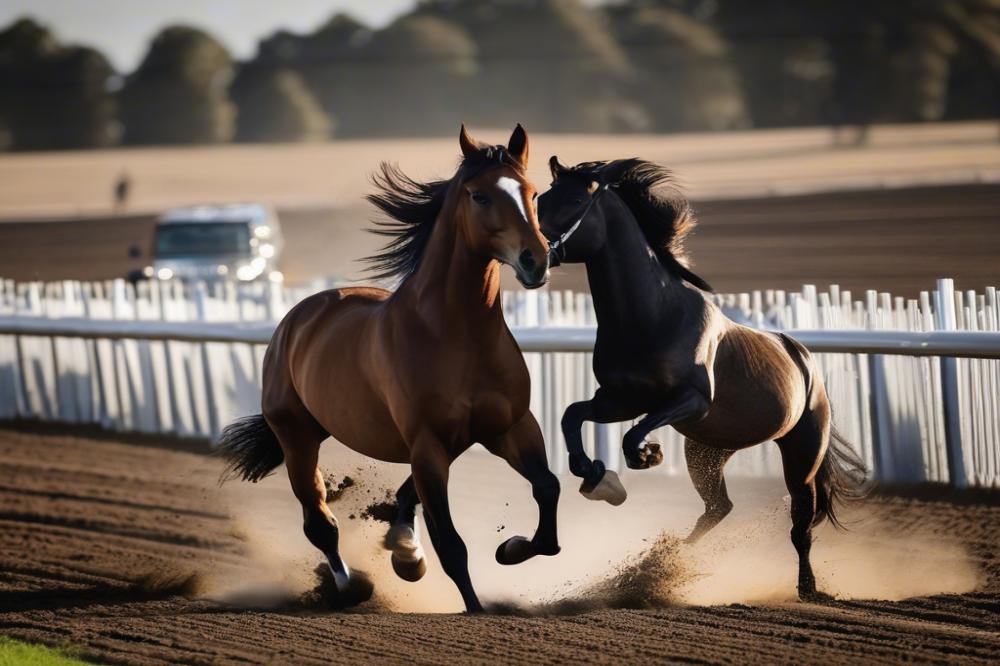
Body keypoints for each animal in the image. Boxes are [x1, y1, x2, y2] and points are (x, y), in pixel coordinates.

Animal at [219, 126, 560, 612]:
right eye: (479, 196)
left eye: (532, 192)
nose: (536, 260)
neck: (455, 334)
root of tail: (297, 319)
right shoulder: (428, 445)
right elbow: (451, 544)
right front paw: (475, 608)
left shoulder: (510, 427)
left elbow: (548, 490)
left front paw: (510, 548)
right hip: (297, 437)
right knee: (319, 522)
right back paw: (351, 587)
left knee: (401, 497)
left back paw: (403, 549)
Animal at [540, 157, 868, 600]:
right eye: (541, 198)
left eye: (575, 200)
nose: (532, 252)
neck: (654, 315)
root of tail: (801, 358)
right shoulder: (618, 398)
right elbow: (572, 416)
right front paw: (596, 476)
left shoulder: (690, 400)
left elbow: (631, 437)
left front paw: (648, 455)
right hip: (708, 451)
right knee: (718, 509)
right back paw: (660, 566)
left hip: (801, 454)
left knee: (801, 522)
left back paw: (808, 589)